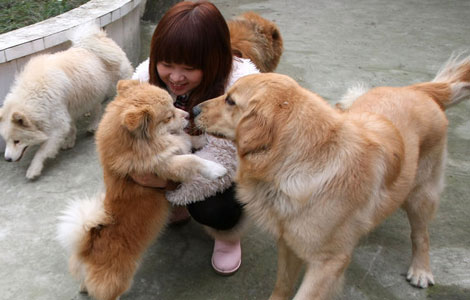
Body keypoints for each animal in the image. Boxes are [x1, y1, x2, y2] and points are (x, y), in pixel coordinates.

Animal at [0, 25, 132, 178]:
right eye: (6, 140)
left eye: (17, 141)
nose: (7, 159)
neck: (35, 94)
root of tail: (99, 39)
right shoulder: (67, 112)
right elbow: (71, 128)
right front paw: (70, 141)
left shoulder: (58, 124)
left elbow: (41, 151)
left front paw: (33, 169)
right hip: (91, 93)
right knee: (97, 108)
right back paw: (92, 125)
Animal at [57, 79, 226, 300]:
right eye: (169, 116)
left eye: (174, 105)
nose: (187, 115)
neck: (142, 145)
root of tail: (87, 248)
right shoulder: (164, 166)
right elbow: (191, 159)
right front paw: (216, 169)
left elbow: (186, 140)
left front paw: (202, 139)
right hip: (120, 278)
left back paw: (83, 288)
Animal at [194, 55, 470, 298]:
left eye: (231, 101)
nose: (194, 108)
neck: (301, 161)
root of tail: (419, 91)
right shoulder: (290, 242)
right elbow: (282, 286)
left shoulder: (327, 263)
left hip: (421, 195)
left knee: (421, 234)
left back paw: (421, 270)